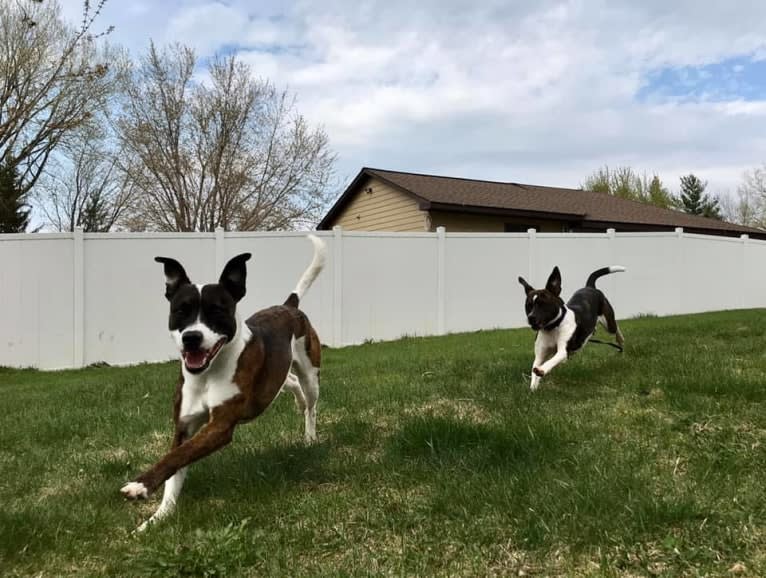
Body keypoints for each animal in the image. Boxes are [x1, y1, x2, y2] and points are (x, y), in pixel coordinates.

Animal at [121, 232, 326, 528]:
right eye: (180, 310)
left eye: (217, 311)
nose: (191, 337)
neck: (207, 375)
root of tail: (288, 306)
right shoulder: (184, 426)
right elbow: (175, 463)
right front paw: (157, 518)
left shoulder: (220, 426)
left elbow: (178, 455)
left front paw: (140, 486)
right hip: (277, 375)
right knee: (289, 382)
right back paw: (296, 400)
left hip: (311, 373)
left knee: (311, 405)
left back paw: (309, 435)